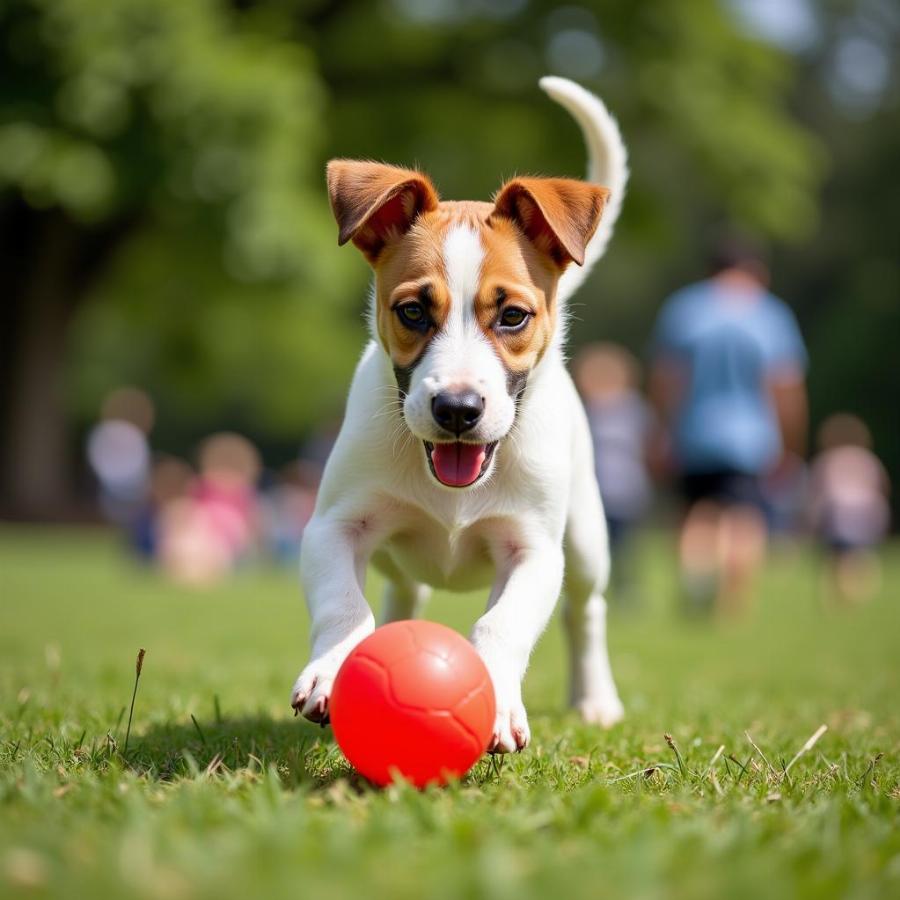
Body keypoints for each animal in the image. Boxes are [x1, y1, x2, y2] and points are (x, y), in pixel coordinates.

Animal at [288, 77, 624, 752]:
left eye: (513, 315)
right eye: (413, 312)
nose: (458, 410)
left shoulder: (533, 551)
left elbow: (502, 624)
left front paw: (496, 701)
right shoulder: (334, 527)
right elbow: (344, 603)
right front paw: (332, 667)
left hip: (584, 539)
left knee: (586, 611)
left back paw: (595, 700)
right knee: (400, 595)